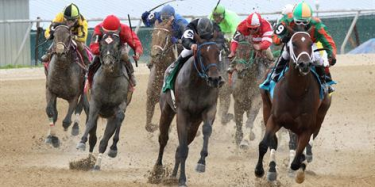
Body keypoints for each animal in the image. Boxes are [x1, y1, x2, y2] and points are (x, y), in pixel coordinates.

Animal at [76, 29, 131, 171]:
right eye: (101, 44)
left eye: (117, 45)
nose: (107, 64)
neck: (109, 79)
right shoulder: (95, 103)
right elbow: (90, 122)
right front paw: (81, 142)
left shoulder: (120, 105)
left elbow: (119, 117)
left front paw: (113, 149)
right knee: (93, 137)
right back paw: (88, 160)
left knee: (103, 141)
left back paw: (96, 164)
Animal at [152, 34, 225, 186]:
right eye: (202, 54)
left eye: (218, 53)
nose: (215, 79)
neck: (198, 83)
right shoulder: (182, 113)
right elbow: (183, 149)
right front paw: (182, 179)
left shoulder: (210, 109)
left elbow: (207, 130)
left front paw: (201, 162)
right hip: (166, 111)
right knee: (163, 139)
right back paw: (158, 170)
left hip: (194, 124)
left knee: (180, 147)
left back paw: (173, 175)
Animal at [254, 31, 334, 183]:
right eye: (294, 44)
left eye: (310, 43)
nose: (304, 64)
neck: (295, 92)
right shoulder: (274, 119)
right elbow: (264, 144)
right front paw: (259, 171)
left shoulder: (307, 127)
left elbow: (297, 159)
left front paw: (299, 172)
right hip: (266, 108)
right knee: (274, 142)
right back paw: (272, 170)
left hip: (320, 117)